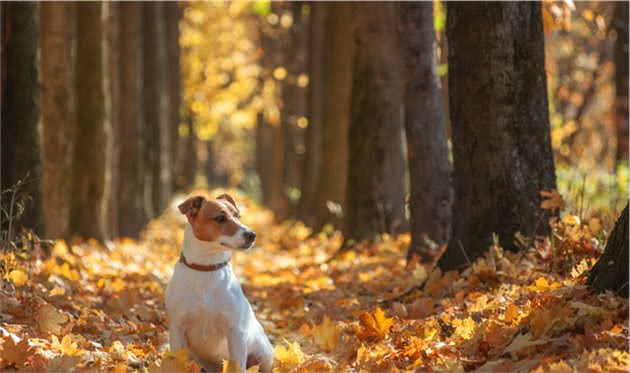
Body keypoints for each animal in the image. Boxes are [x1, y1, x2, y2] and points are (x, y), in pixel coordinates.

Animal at [167, 193, 276, 370]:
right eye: (220, 218)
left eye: (238, 216)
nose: (252, 235)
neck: (206, 269)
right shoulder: (177, 329)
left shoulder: (235, 332)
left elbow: (237, 366)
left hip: (264, 354)